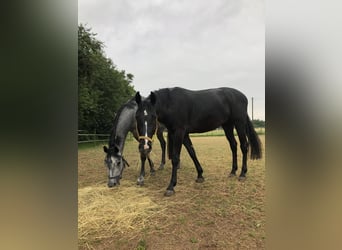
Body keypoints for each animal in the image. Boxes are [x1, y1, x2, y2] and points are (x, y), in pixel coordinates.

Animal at [135, 87, 264, 196]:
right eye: (136, 117)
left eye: (153, 116)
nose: (145, 147)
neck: (171, 104)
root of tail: (242, 96)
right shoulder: (183, 134)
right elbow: (192, 152)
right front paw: (200, 175)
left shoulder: (179, 132)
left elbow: (176, 158)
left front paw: (171, 186)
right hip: (227, 126)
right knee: (233, 145)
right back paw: (233, 171)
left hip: (239, 123)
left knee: (244, 145)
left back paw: (242, 174)